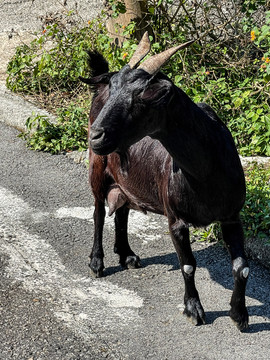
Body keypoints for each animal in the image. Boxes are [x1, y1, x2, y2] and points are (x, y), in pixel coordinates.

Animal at [81, 32, 249, 330]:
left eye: (140, 99)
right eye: (114, 90)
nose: (97, 136)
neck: (206, 172)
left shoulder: (231, 216)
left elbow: (241, 268)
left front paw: (239, 315)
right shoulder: (176, 219)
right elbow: (188, 265)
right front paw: (193, 309)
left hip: (127, 177)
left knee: (122, 209)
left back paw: (127, 254)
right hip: (97, 167)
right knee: (99, 211)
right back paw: (97, 262)